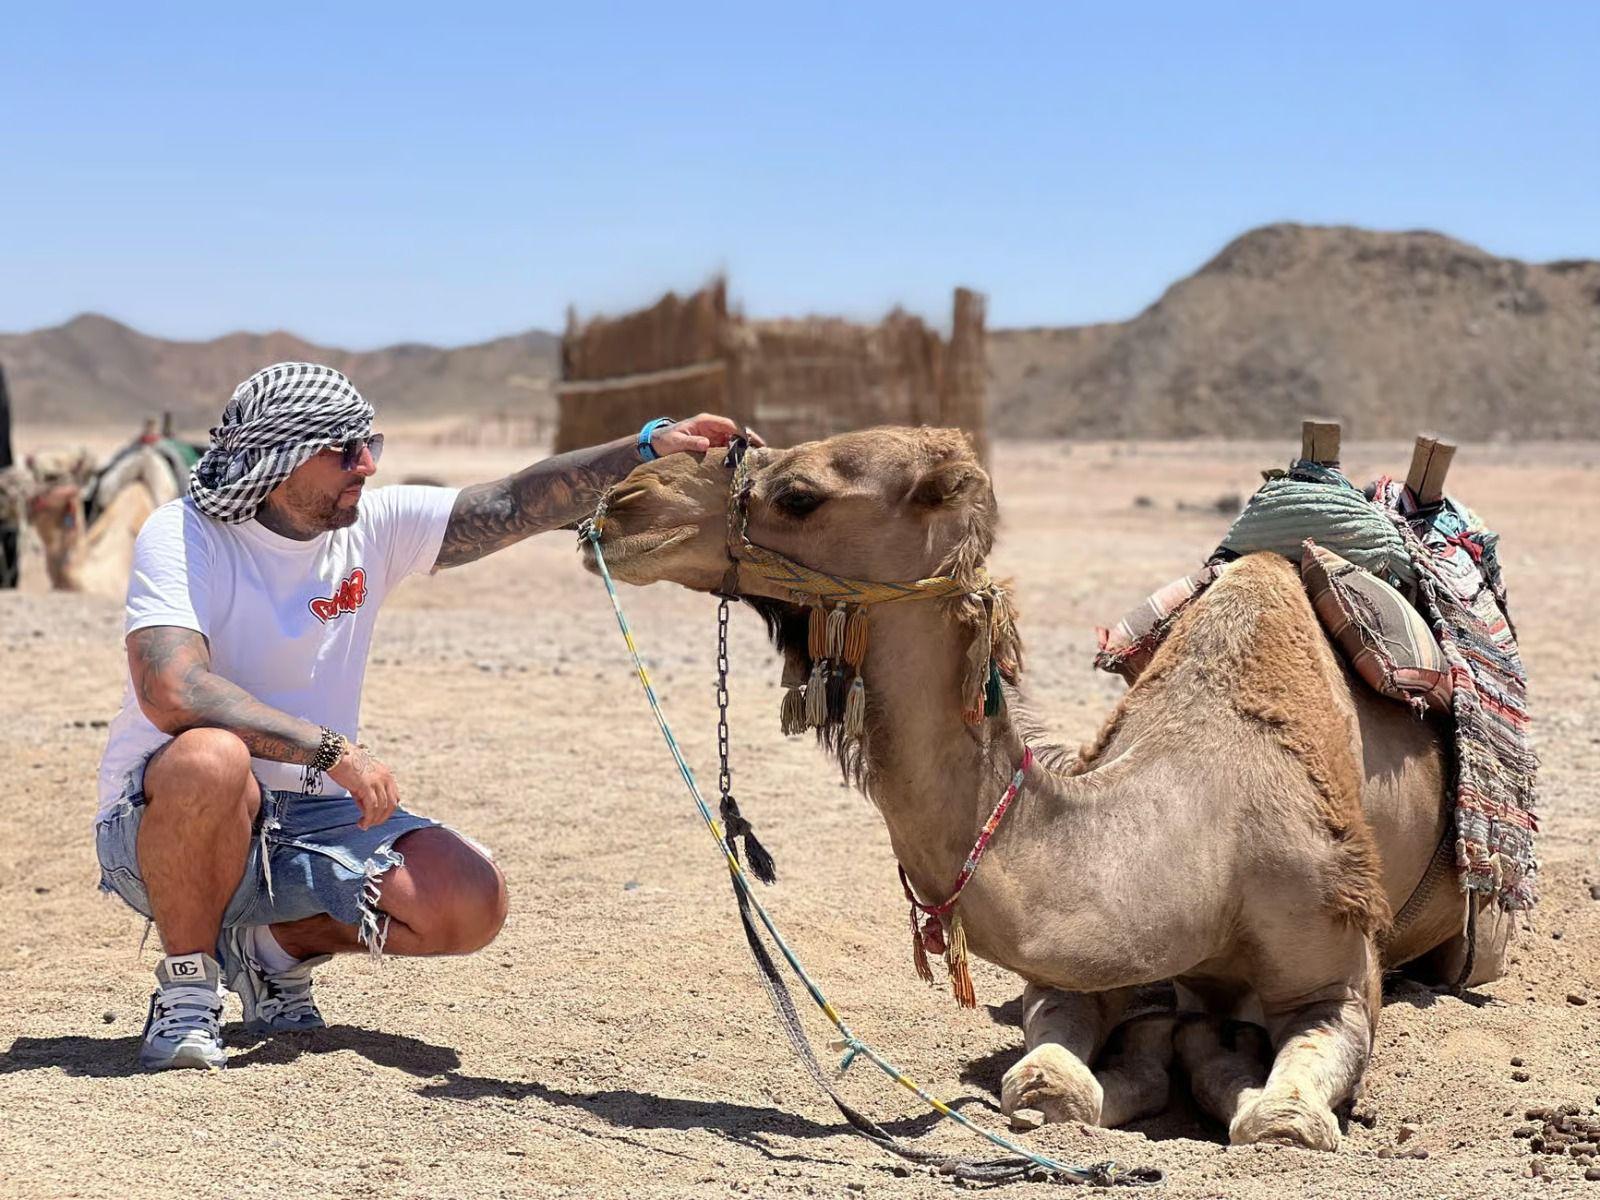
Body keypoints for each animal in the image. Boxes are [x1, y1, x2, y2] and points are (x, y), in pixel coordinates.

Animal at [581, 427, 1512, 1152]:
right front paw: (1157, 1053)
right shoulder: (1081, 962)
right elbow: (1048, 1082)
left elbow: (1279, 1121)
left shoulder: (1337, 974)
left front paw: (1230, 1066)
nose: (625, 501)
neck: (1207, 825)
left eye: (800, 494)